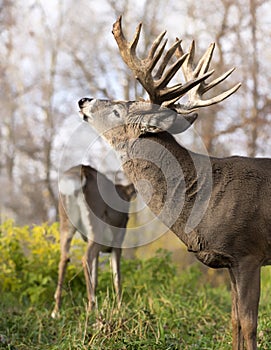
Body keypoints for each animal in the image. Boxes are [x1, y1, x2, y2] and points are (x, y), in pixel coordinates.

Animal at [51, 164, 135, 318]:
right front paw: (120, 309)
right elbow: (117, 277)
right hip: (96, 228)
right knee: (85, 258)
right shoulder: (117, 243)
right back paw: (91, 308)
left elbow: (95, 277)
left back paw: (56, 311)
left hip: (65, 223)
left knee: (64, 258)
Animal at [76, 17, 271, 350]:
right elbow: (234, 321)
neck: (203, 197)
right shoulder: (230, 261)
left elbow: (248, 324)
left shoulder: (249, 254)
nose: (83, 100)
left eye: (118, 110)